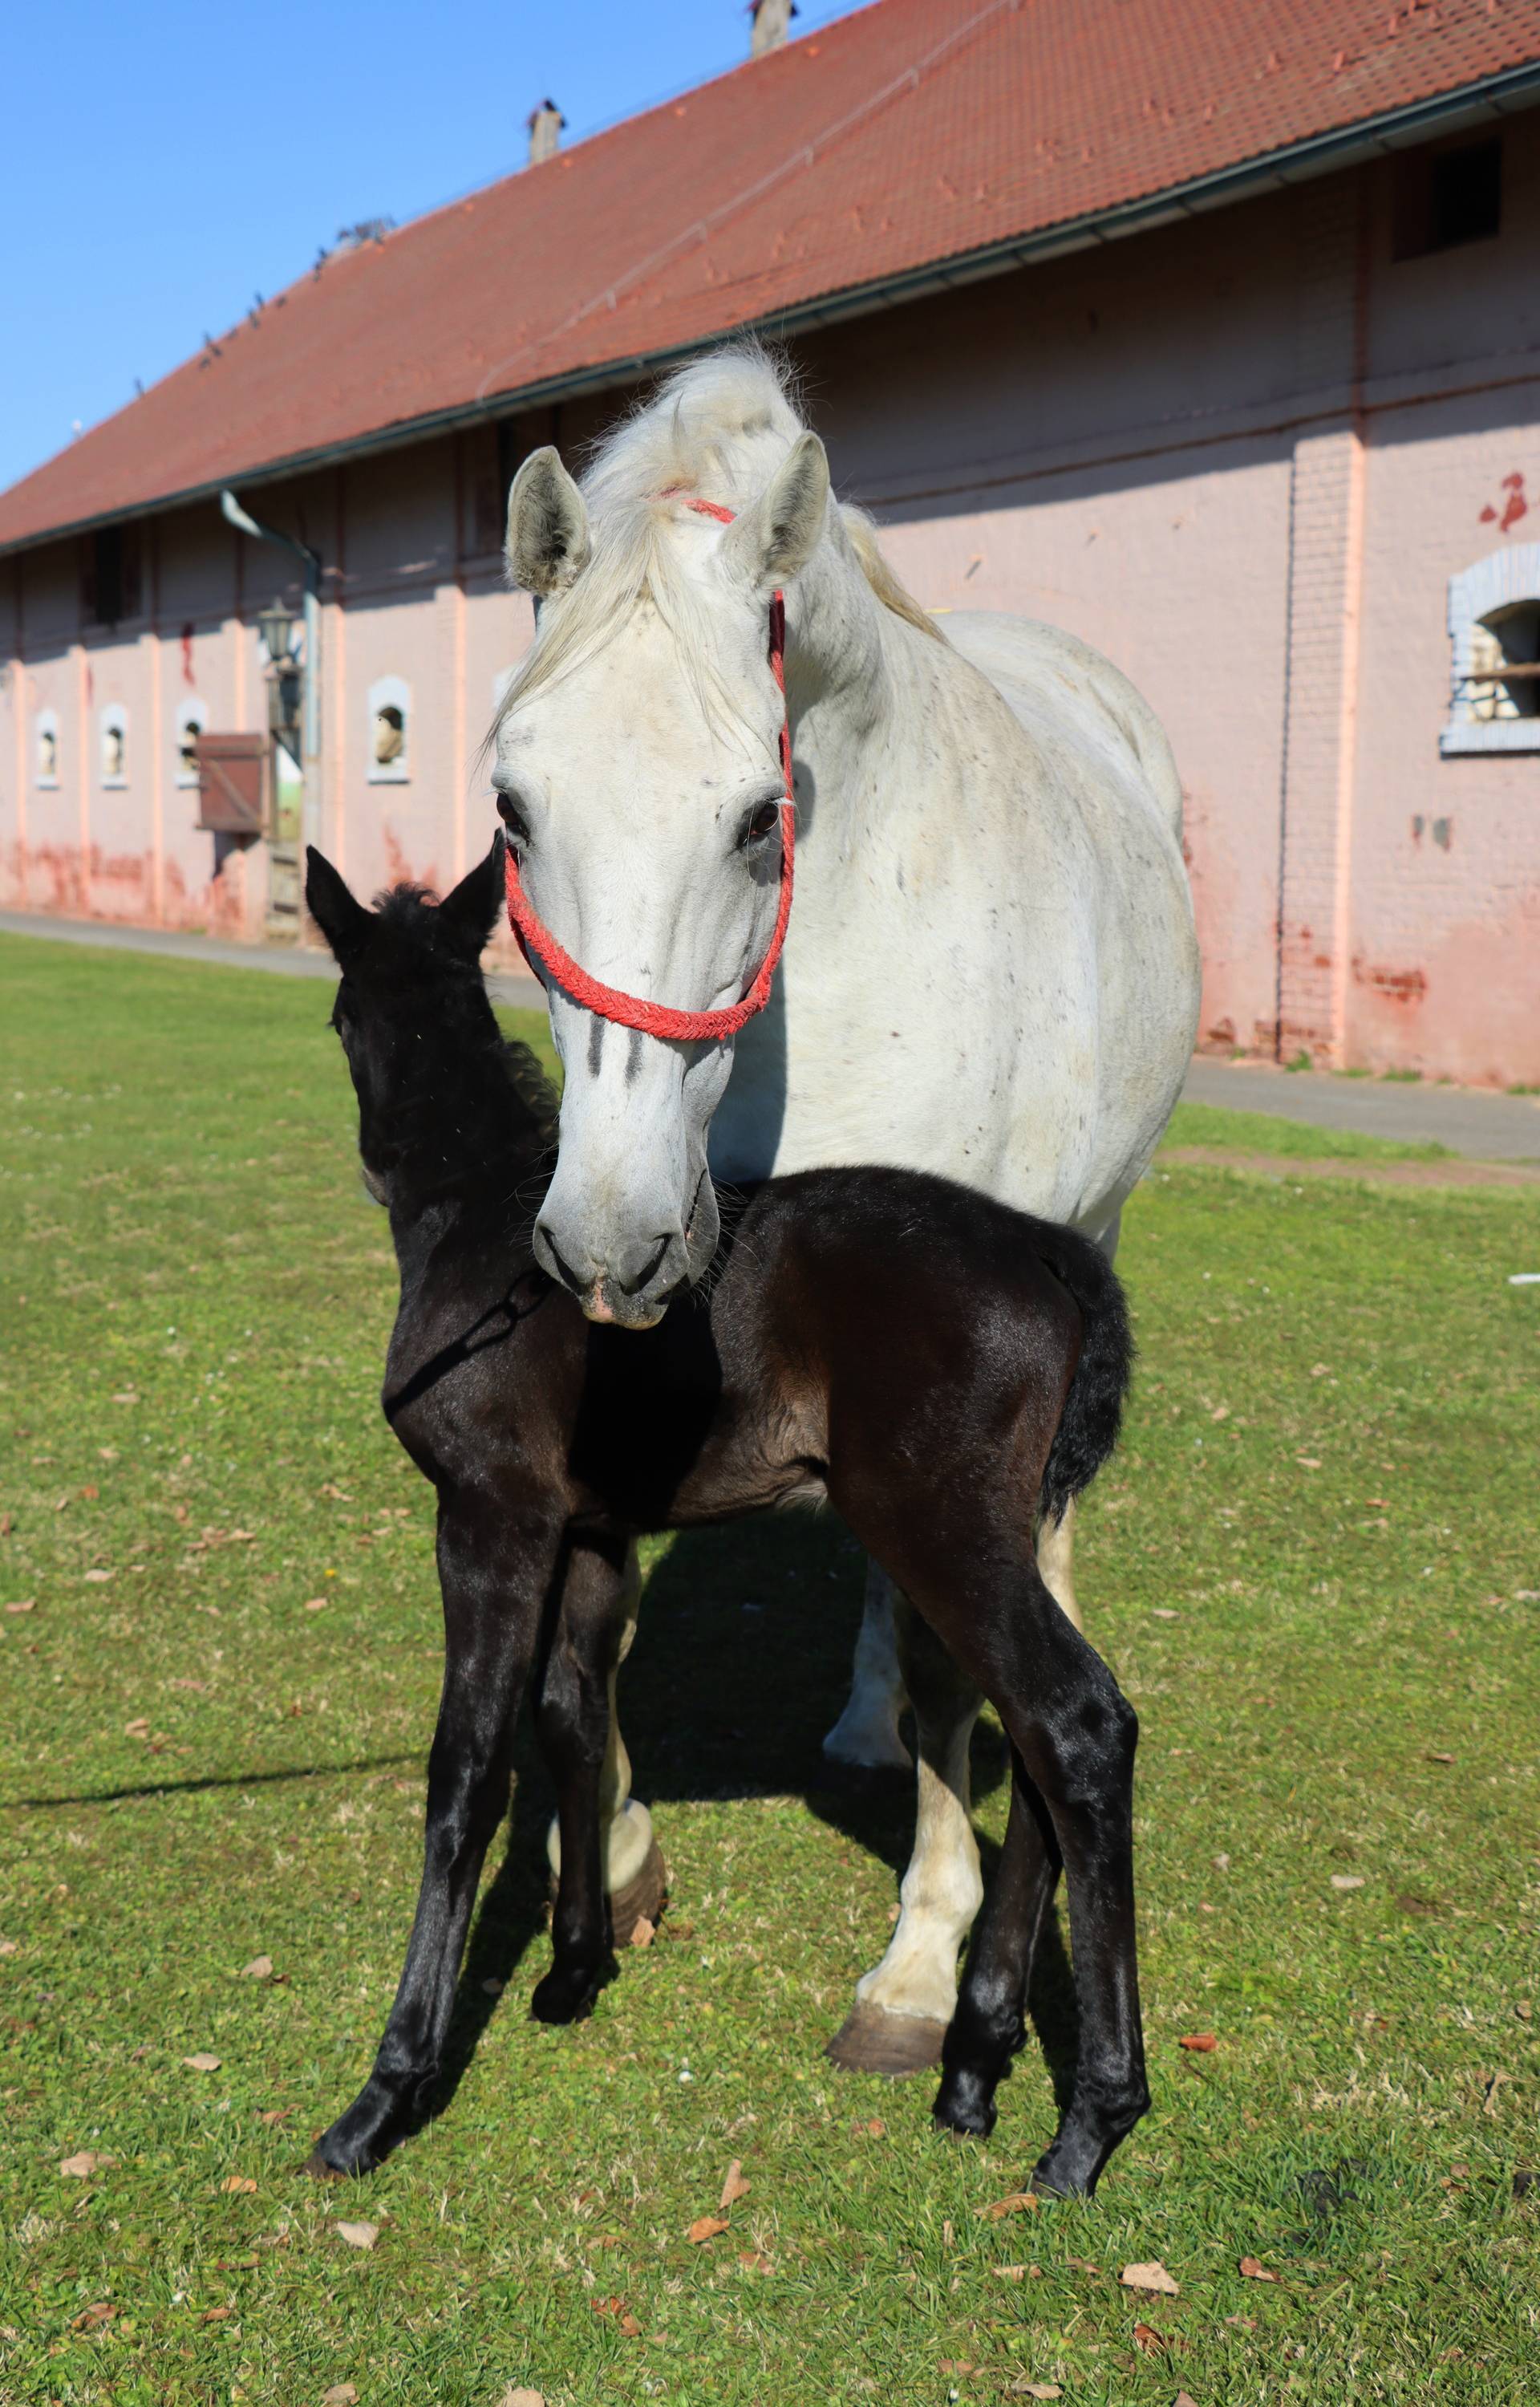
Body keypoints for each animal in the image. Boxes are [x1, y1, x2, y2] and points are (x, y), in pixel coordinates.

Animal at [303, 842, 1145, 2205]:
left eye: (337, 1016)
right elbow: (571, 1715)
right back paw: (974, 2063)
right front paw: (578, 1968)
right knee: (1032, 1733)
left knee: (1077, 1720)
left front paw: (388, 2090)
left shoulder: (489, 1518)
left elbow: (466, 1771)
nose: (375, 1162)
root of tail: (1046, 1250)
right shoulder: (593, 1534)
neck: (482, 1232)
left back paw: (1092, 2118)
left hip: (938, 1521)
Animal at [493, 349, 1203, 2080]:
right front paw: (620, 1861)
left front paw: (920, 1967)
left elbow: (962, 1659)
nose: (600, 1236)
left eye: (762, 815)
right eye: (514, 808)